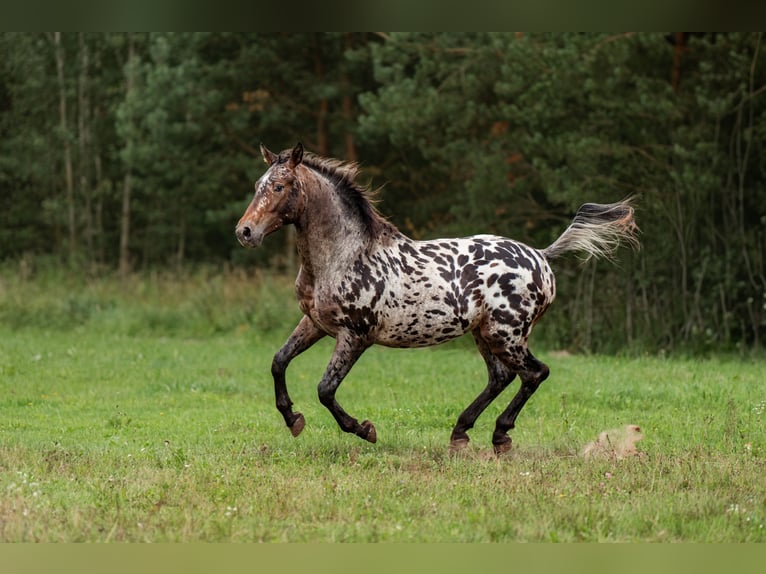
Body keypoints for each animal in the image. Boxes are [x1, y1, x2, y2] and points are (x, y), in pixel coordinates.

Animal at [236, 143, 640, 454]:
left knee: (534, 373)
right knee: (501, 377)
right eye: (258, 185)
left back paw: (500, 436)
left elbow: (325, 390)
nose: (245, 232)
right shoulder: (315, 324)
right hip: (484, 334)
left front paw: (365, 430)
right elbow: (278, 362)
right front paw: (293, 419)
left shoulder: (355, 335)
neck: (343, 255)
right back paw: (460, 433)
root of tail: (541, 256)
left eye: (280, 186)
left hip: (506, 334)